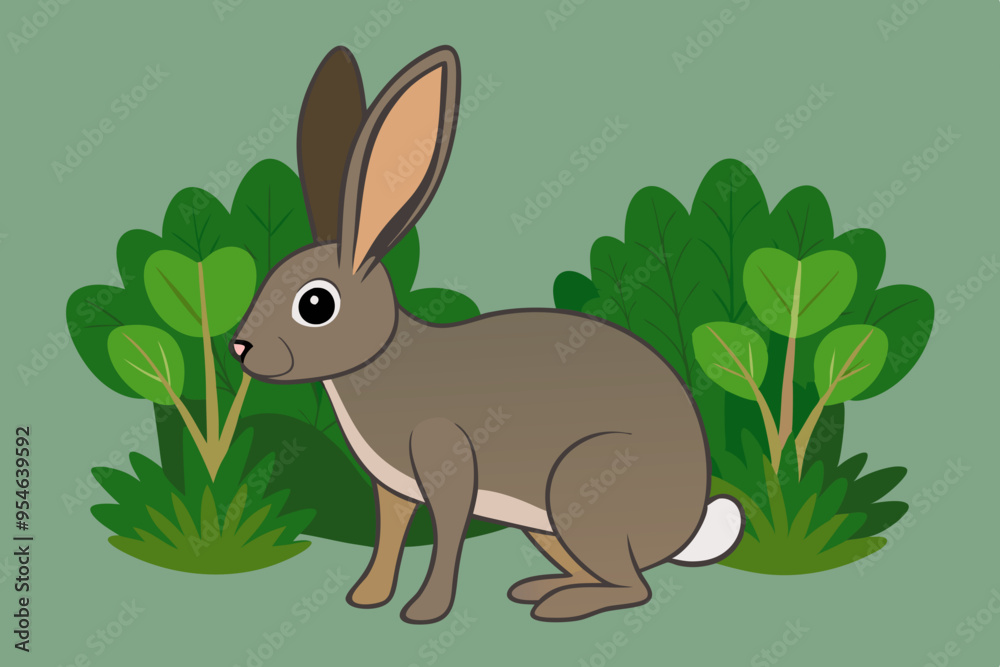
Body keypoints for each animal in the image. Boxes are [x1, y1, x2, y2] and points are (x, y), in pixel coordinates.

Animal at [231, 45, 744, 624]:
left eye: (315, 304)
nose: (239, 347)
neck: (382, 360)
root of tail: (688, 525)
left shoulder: (446, 461)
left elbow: (447, 536)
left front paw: (424, 612)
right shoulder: (393, 489)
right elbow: (389, 539)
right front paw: (367, 597)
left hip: (581, 486)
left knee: (634, 586)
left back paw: (560, 606)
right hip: (546, 525)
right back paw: (539, 588)